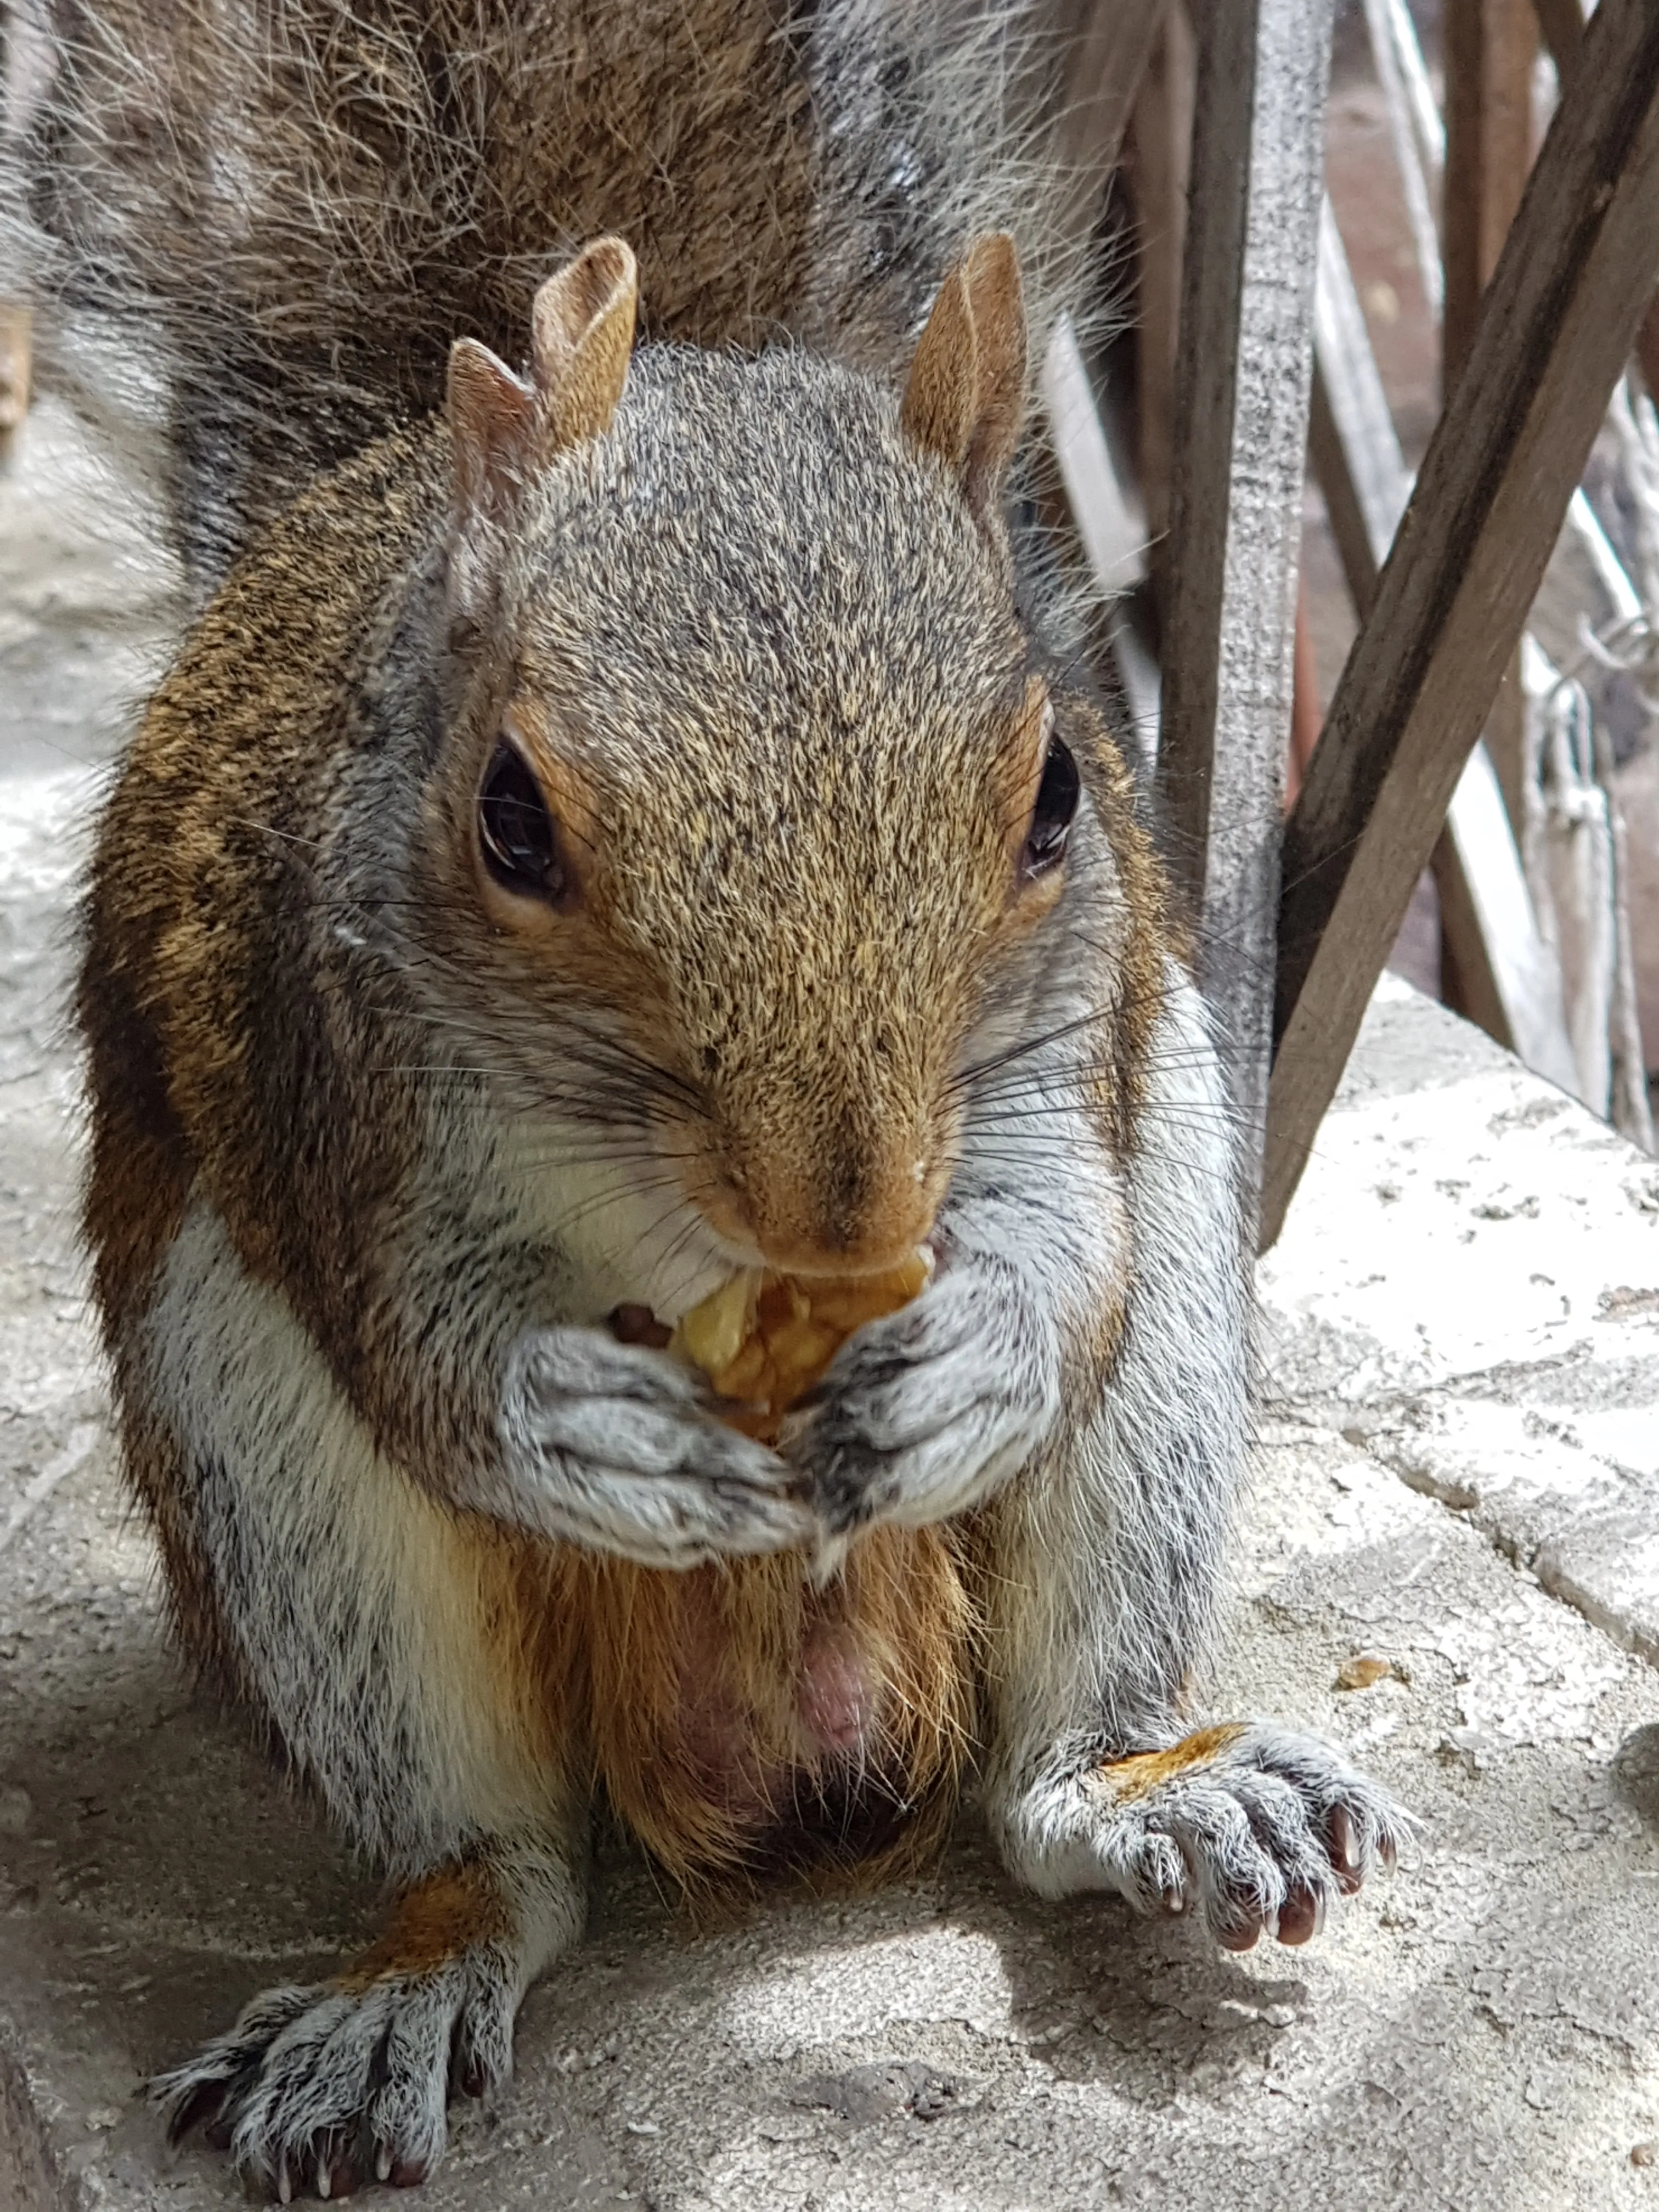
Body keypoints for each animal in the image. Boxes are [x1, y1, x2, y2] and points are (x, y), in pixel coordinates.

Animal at [11, 0, 1409, 2199]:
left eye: (1058, 791)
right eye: (506, 816)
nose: (850, 1218)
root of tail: (785, 1771)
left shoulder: (1063, 1045)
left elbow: (1062, 1239)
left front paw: (983, 1345)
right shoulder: (320, 1073)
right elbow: (414, 1350)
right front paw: (568, 1422)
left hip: (1176, 1261)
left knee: (1038, 1767)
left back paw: (1150, 1788)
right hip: (259, 1453)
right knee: (500, 1854)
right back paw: (411, 1974)